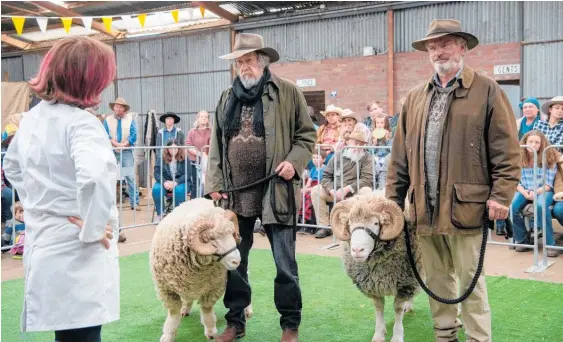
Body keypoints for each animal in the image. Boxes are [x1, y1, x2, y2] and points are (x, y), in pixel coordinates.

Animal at [151, 198, 243, 342]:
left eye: (232, 235)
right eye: (212, 240)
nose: (236, 261)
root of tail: (202, 198)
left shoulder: (214, 288)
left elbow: (206, 310)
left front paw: (210, 331)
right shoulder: (166, 289)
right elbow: (173, 314)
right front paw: (168, 335)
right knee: (187, 298)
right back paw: (185, 309)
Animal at [330, 187, 424, 342]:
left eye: (376, 223)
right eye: (349, 224)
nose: (357, 250)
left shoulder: (405, 283)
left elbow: (397, 308)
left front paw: (397, 336)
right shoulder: (373, 284)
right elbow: (378, 307)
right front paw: (379, 334)